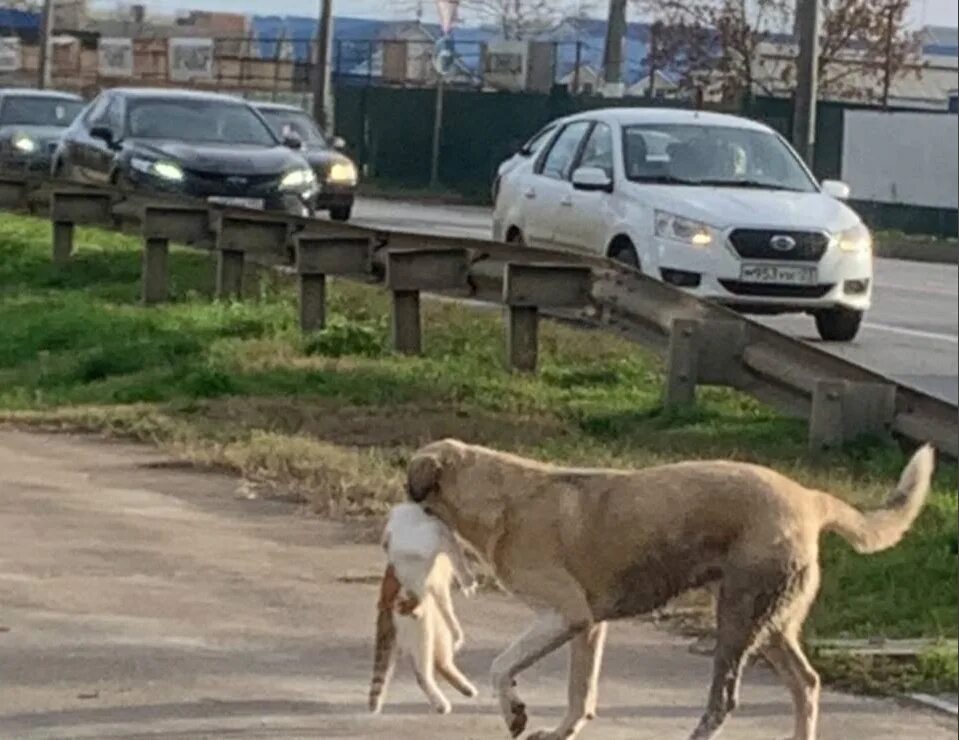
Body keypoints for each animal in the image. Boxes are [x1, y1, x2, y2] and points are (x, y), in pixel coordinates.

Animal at [370, 500, 478, 712]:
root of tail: (384, 610)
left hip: (436, 623)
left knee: (442, 656)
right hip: (419, 630)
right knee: (422, 668)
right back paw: (438, 699)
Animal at [408, 440, 932, 740]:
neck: (502, 497)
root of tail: (809, 497)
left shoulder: (565, 615)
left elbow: (502, 665)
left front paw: (515, 713)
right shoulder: (588, 627)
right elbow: (580, 694)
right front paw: (558, 731)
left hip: (737, 619)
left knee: (724, 701)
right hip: (770, 624)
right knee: (806, 684)